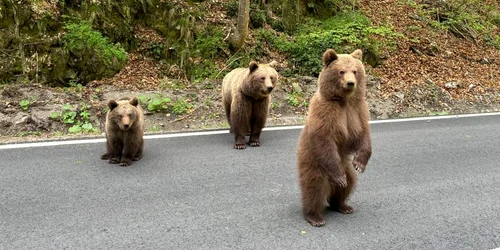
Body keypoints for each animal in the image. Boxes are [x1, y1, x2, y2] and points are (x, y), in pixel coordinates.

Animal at [296, 48, 372, 227]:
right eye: (341, 71)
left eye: (355, 71)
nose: (351, 83)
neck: (344, 101)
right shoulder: (326, 112)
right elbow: (324, 139)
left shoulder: (357, 111)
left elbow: (363, 135)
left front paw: (360, 164)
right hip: (314, 163)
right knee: (314, 187)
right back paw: (315, 216)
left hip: (345, 165)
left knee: (349, 183)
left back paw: (342, 205)